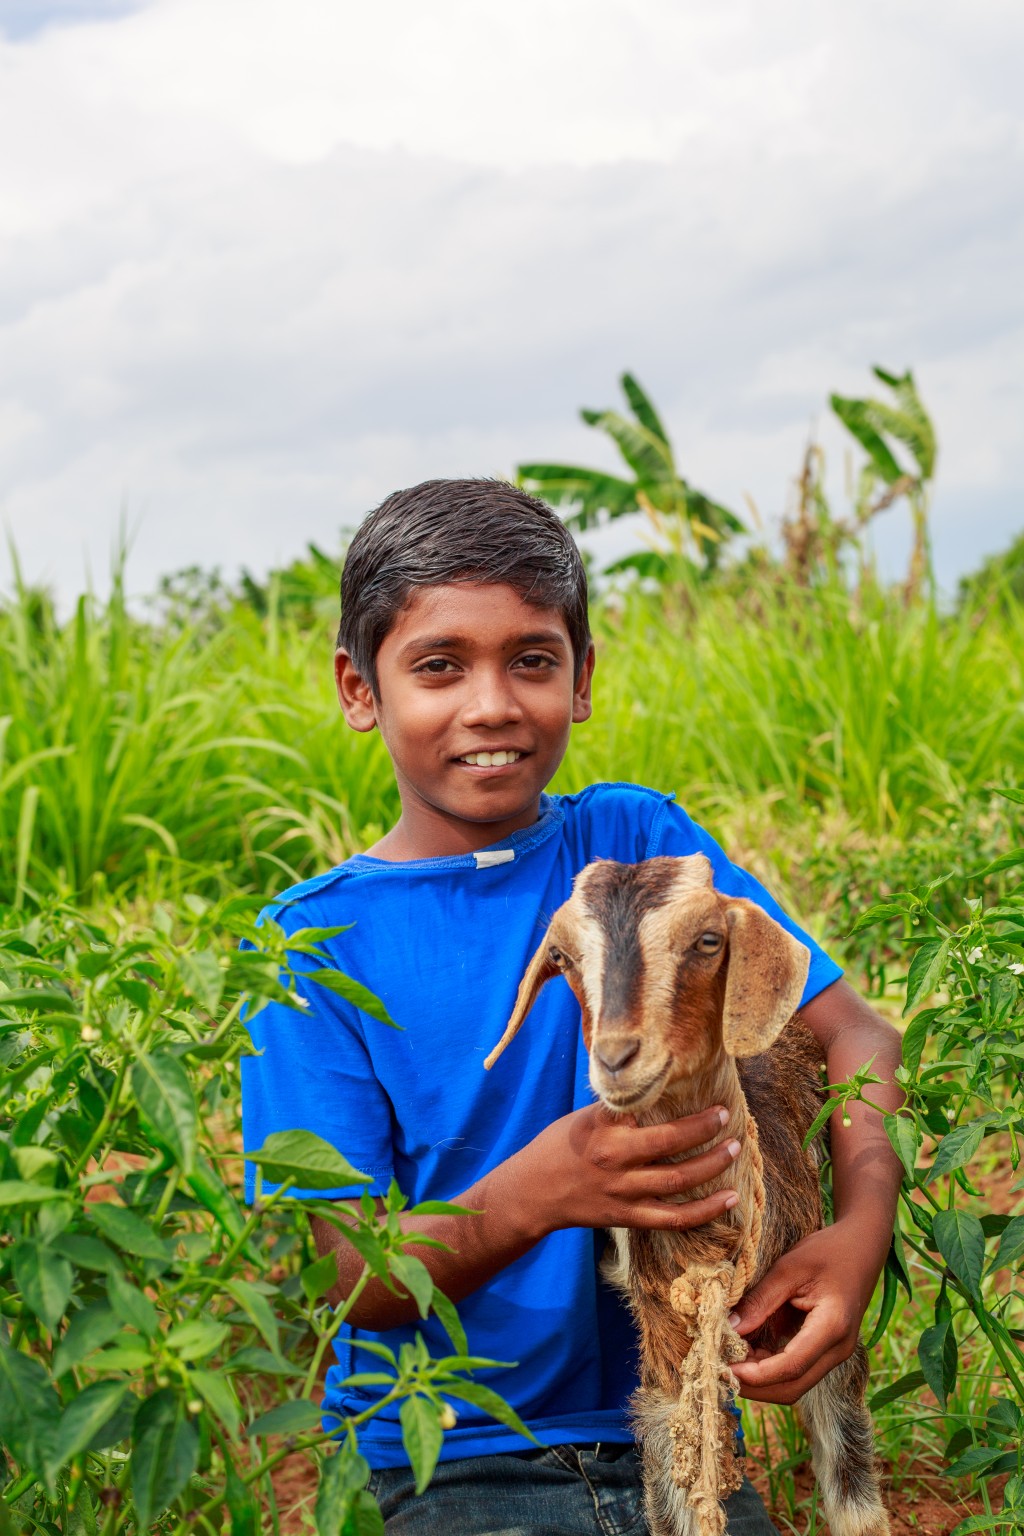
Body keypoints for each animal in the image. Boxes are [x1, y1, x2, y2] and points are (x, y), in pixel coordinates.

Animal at [482, 854, 890, 1536]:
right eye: (562, 956)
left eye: (707, 941)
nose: (617, 1056)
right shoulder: (668, 1349)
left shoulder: (824, 1334)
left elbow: (854, 1494)